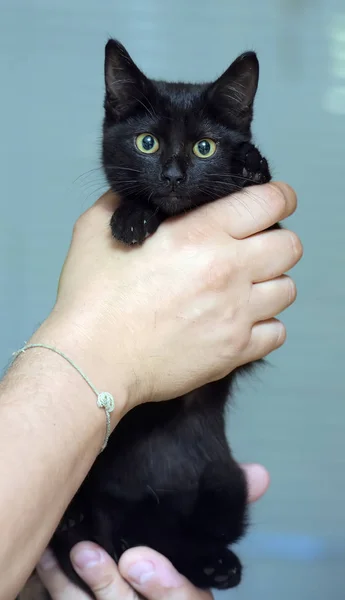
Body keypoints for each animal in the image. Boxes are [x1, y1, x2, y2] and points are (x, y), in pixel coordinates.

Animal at [45, 39, 274, 596]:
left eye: (204, 148)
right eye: (147, 143)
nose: (172, 177)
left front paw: (251, 165)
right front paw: (130, 216)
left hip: (226, 485)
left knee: (182, 543)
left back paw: (217, 565)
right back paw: (73, 519)